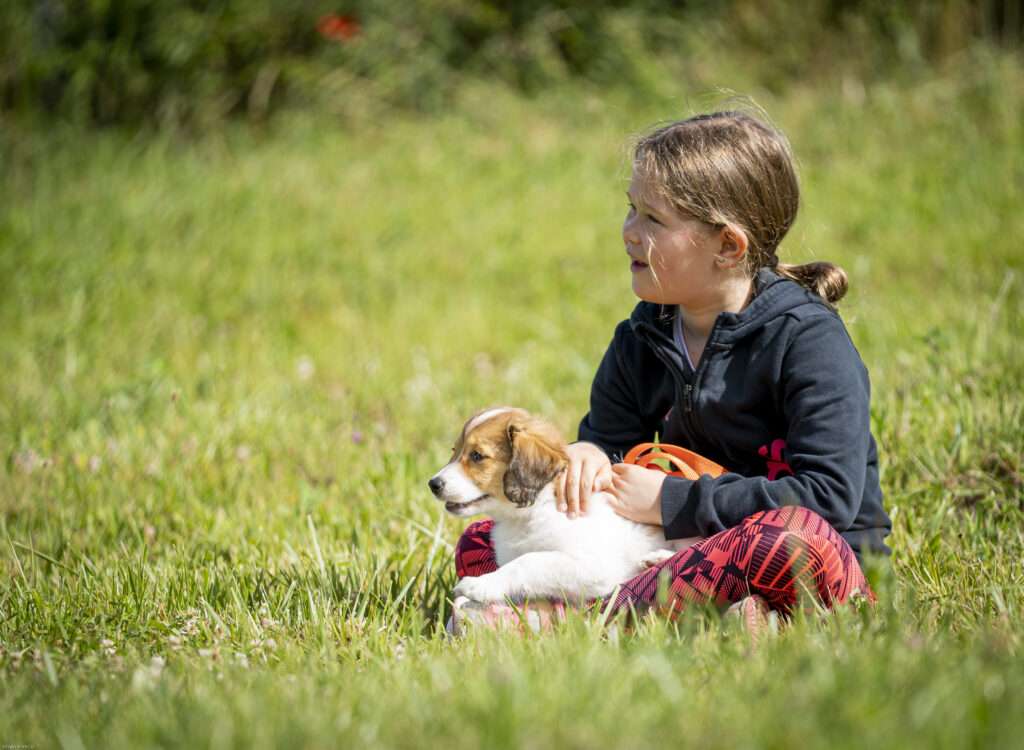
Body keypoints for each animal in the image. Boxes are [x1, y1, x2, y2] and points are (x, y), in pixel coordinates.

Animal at [423, 407, 696, 606]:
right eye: (455, 450)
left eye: (477, 456)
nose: (433, 484)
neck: (533, 511)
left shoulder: (594, 565)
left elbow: (530, 561)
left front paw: (481, 584)